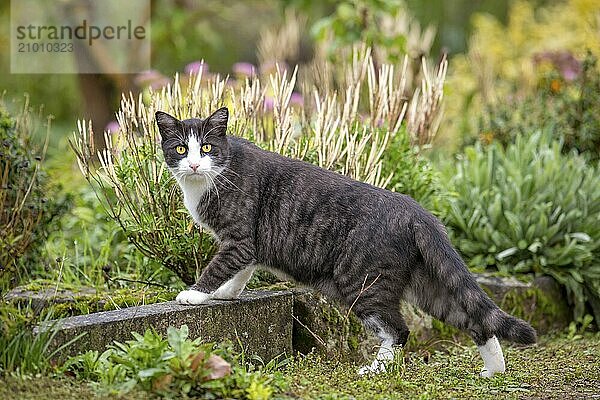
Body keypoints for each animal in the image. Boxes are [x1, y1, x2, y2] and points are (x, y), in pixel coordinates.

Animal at [155, 106, 536, 376]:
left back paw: (375, 370)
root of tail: (417, 212)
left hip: (362, 280)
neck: (215, 174)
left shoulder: (240, 237)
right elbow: (241, 270)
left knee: (398, 329)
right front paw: (226, 294)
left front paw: (195, 294)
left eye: (206, 147)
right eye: (180, 148)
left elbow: (222, 264)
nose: (193, 164)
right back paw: (494, 369)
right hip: (425, 283)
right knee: (471, 318)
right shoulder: (249, 245)